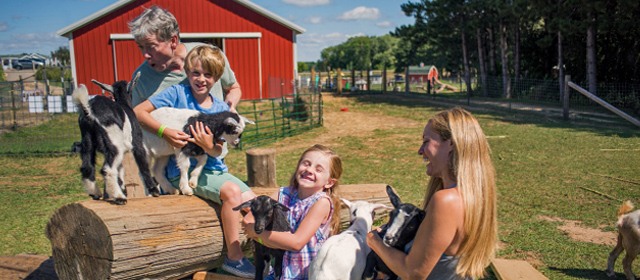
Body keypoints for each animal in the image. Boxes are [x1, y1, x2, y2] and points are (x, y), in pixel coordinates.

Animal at [72, 73, 160, 205]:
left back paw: (95, 193)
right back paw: (119, 197)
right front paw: (153, 190)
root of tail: (89, 112)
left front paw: (123, 189)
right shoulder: (137, 142)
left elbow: (120, 170)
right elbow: (143, 164)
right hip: (114, 141)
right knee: (107, 170)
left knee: (87, 167)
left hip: (87, 140)